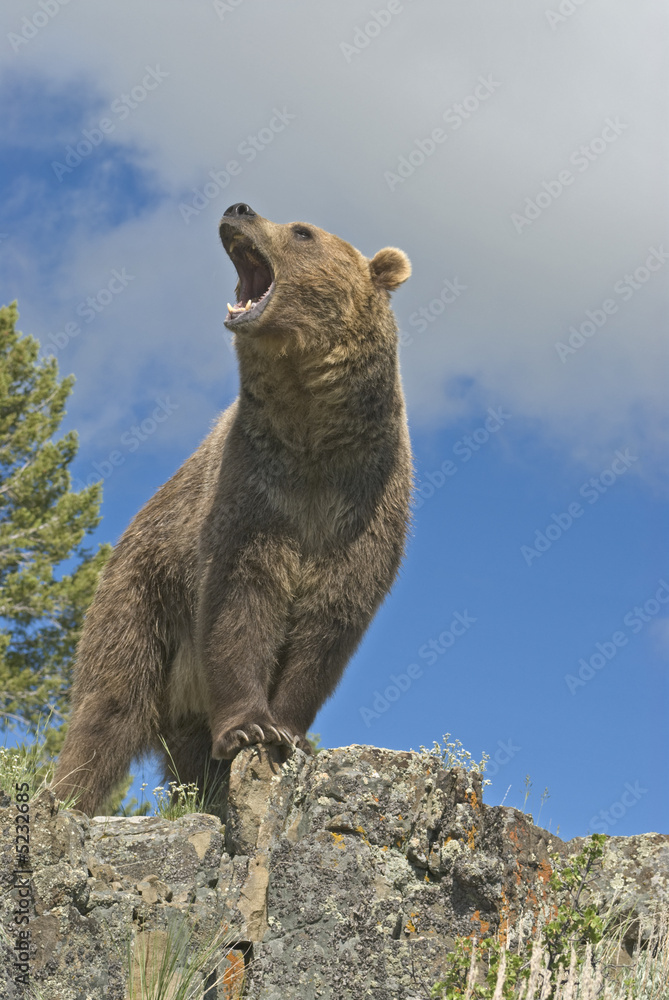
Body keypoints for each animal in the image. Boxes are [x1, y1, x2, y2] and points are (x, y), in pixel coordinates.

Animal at [52, 203, 413, 816]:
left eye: (302, 231)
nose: (237, 210)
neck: (312, 433)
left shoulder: (363, 501)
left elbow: (330, 619)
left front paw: (288, 733)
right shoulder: (253, 493)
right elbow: (239, 600)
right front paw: (249, 727)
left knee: (184, 753)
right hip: (143, 594)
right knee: (110, 705)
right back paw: (64, 799)